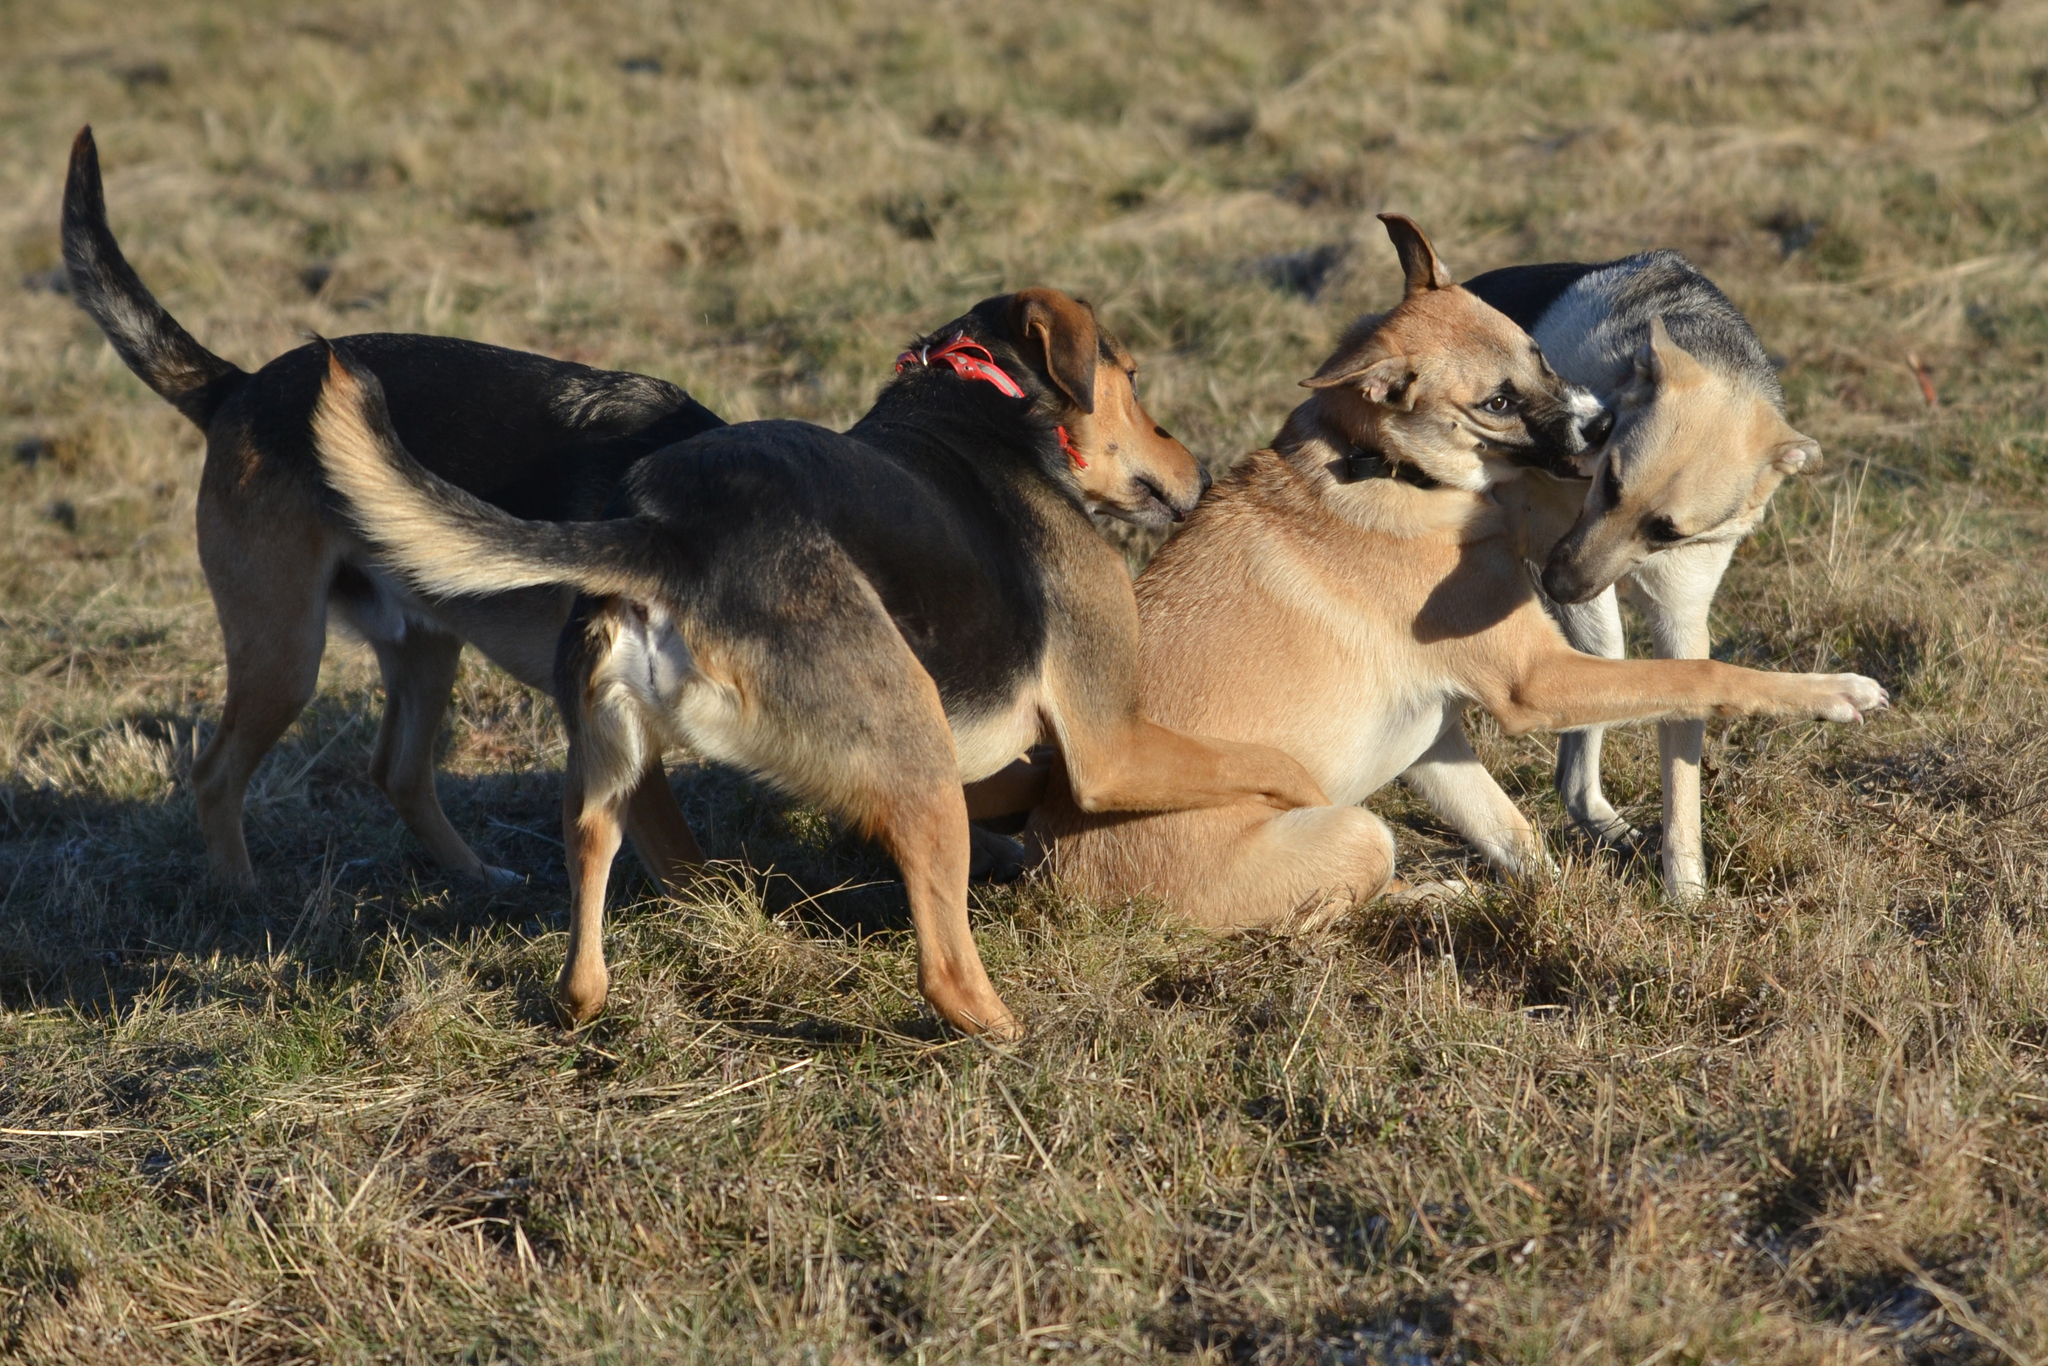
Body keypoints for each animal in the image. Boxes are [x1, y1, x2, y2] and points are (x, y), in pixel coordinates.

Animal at [64, 127, 729, 892]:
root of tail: (237, 387)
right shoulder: (618, 732)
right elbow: (686, 859)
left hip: (427, 645)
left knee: (398, 772)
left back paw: (476, 875)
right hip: (287, 655)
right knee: (216, 774)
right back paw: (242, 894)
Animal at [1024, 219, 1884, 929]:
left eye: (1539, 354)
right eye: (1496, 401)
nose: (1603, 422)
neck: (1395, 470)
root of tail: (1065, 887)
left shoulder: (1434, 735)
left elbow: (1516, 832)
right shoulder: (1535, 679)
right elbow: (1707, 674)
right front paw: (1837, 693)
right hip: (1359, 829)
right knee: (1329, 913)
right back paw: (1441, 895)